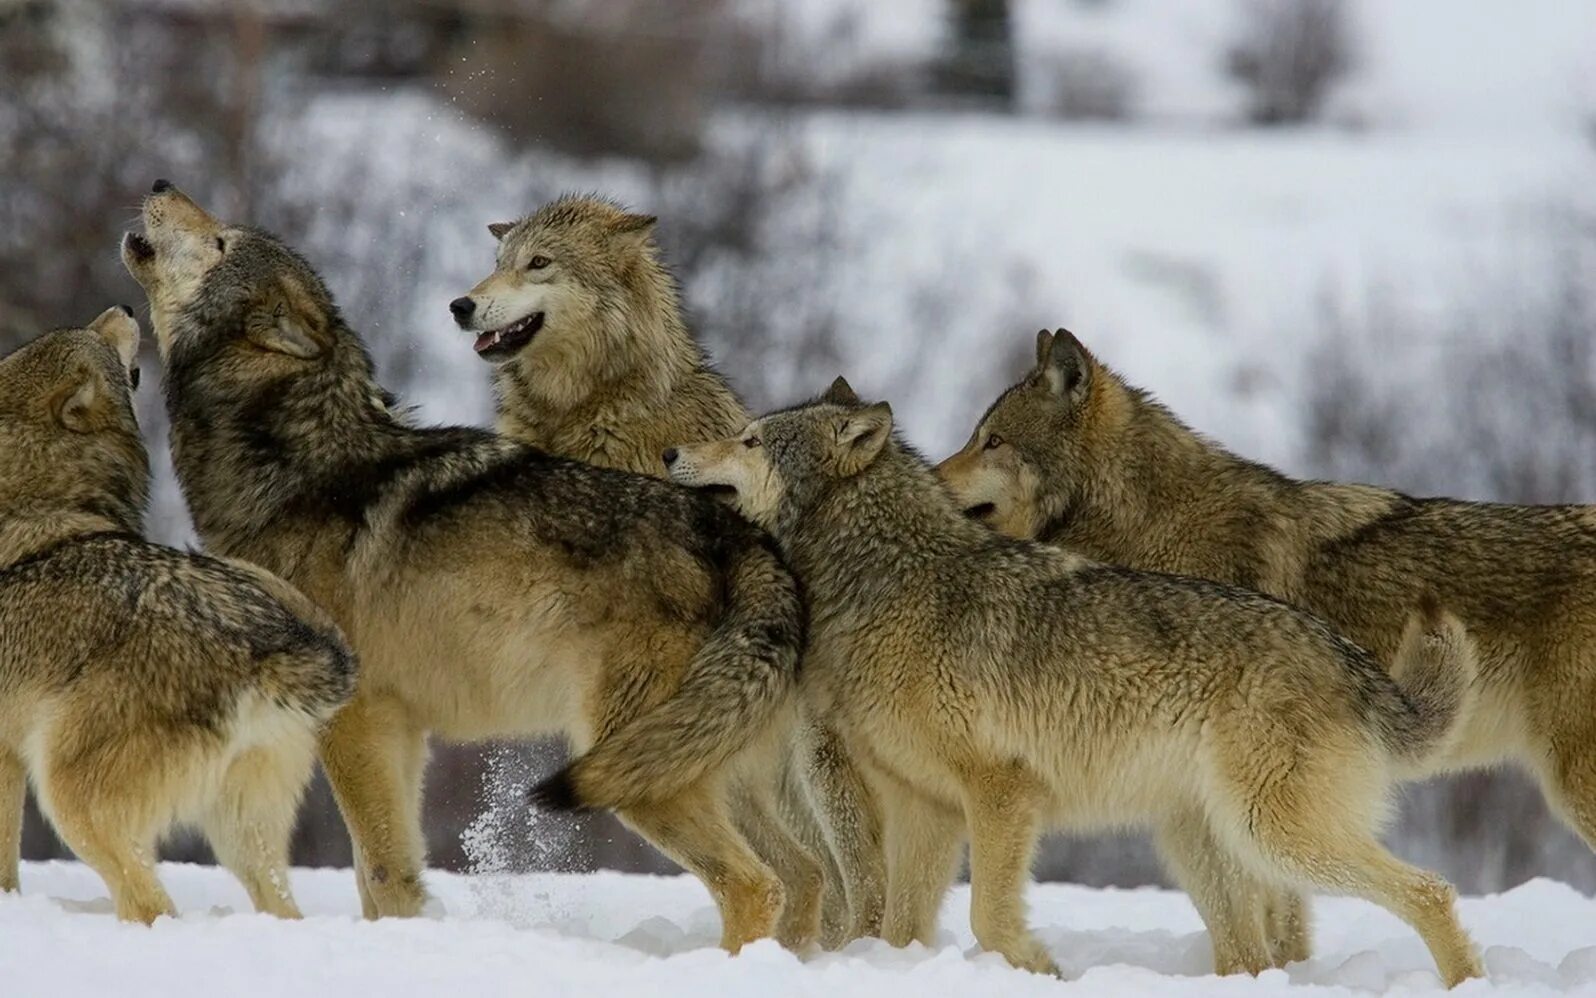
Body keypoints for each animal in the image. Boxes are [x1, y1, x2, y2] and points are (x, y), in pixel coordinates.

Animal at [0, 308, 352, 919]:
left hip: (71, 799)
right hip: (243, 836)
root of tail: (266, 648)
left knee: (150, 904)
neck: (39, 492)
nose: (124, 311)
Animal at [121, 181, 810, 951]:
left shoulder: (355, 718)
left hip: (634, 768)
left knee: (758, 885)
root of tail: (747, 541)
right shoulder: (401, 729)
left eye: (221, 243)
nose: (159, 185)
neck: (297, 465)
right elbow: (383, 875)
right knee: (804, 873)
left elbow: (381, 868)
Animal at [453, 192, 887, 938]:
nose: (460, 304)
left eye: (539, 264)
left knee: (823, 878)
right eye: (498, 263)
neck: (594, 409)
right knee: (807, 876)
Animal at [663, 380, 1481, 983]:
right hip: (1206, 844)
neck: (888, 583)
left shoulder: (1002, 790)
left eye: (750, 440)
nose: (670, 450)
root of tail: (1348, 656)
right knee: (1255, 954)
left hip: (1274, 836)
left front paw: (1040, 970)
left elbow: (990, 917)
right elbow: (899, 930)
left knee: (1431, 889)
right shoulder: (924, 806)